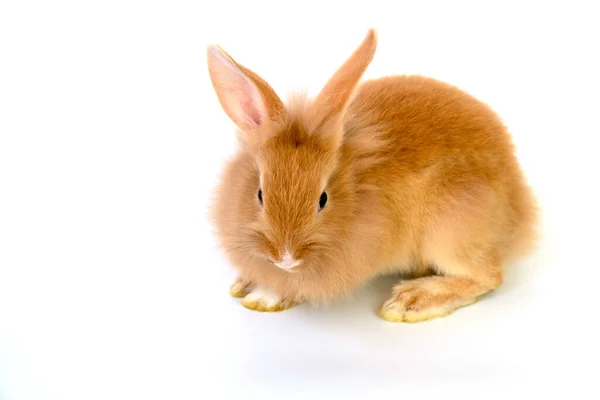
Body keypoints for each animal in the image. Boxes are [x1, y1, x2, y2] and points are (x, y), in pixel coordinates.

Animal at [207, 28, 540, 322]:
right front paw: (245, 283)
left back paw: (410, 301)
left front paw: (265, 296)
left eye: (323, 199)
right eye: (259, 194)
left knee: (488, 277)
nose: (286, 258)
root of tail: (518, 201)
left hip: (450, 230)